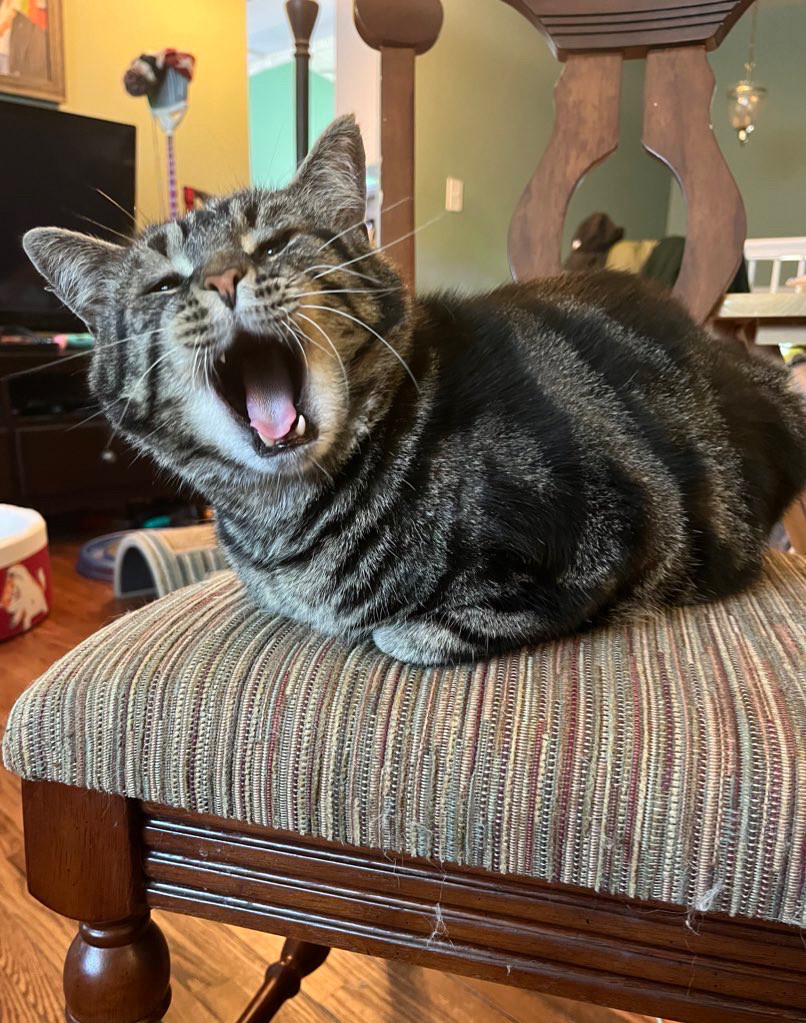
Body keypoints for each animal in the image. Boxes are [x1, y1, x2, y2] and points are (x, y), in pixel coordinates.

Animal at [23, 116, 806, 666]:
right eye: (164, 284)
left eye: (273, 245)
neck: (283, 524)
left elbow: (446, 622)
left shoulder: (600, 539)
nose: (221, 278)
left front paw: (404, 627)